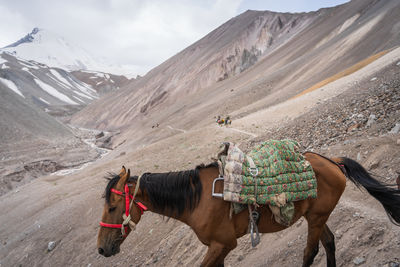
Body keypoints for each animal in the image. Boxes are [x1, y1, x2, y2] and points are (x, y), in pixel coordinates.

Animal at [97, 154, 400, 266]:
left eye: (112, 207)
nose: (101, 249)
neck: (197, 199)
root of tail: (332, 161)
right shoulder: (218, 248)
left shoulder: (223, 244)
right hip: (315, 216)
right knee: (329, 242)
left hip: (315, 218)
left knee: (311, 250)